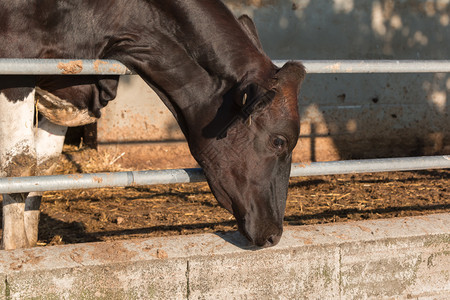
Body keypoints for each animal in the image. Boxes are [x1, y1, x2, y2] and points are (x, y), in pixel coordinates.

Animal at [0, 0, 304, 248]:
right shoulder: (15, 62)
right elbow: (20, 164)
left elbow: (44, 165)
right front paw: (17, 248)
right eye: (279, 141)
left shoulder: (67, 89)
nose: (274, 234)